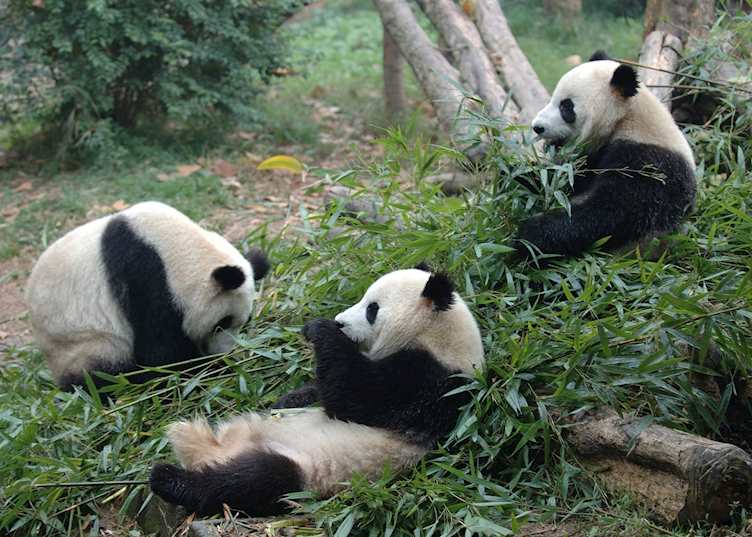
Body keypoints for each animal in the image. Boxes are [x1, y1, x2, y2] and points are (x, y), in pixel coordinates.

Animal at [25, 201, 270, 391]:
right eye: (221, 323)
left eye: (245, 321)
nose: (223, 353)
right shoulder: (146, 279)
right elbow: (161, 354)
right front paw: (205, 370)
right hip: (82, 343)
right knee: (101, 374)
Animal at [149, 265, 485, 516]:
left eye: (372, 309)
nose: (340, 322)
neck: (437, 338)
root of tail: (217, 449)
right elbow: (323, 393)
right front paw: (288, 398)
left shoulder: (432, 383)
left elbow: (360, 397)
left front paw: (320, 330)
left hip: (304, 470)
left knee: (247, 482)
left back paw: (169, 478)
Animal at [517, 50, 696, 258]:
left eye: (566, 107)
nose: (537, 127)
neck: (626, 118)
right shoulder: (592, 157)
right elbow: (562, 180)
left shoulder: (649, 163)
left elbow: (612, 212)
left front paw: (529, 235)